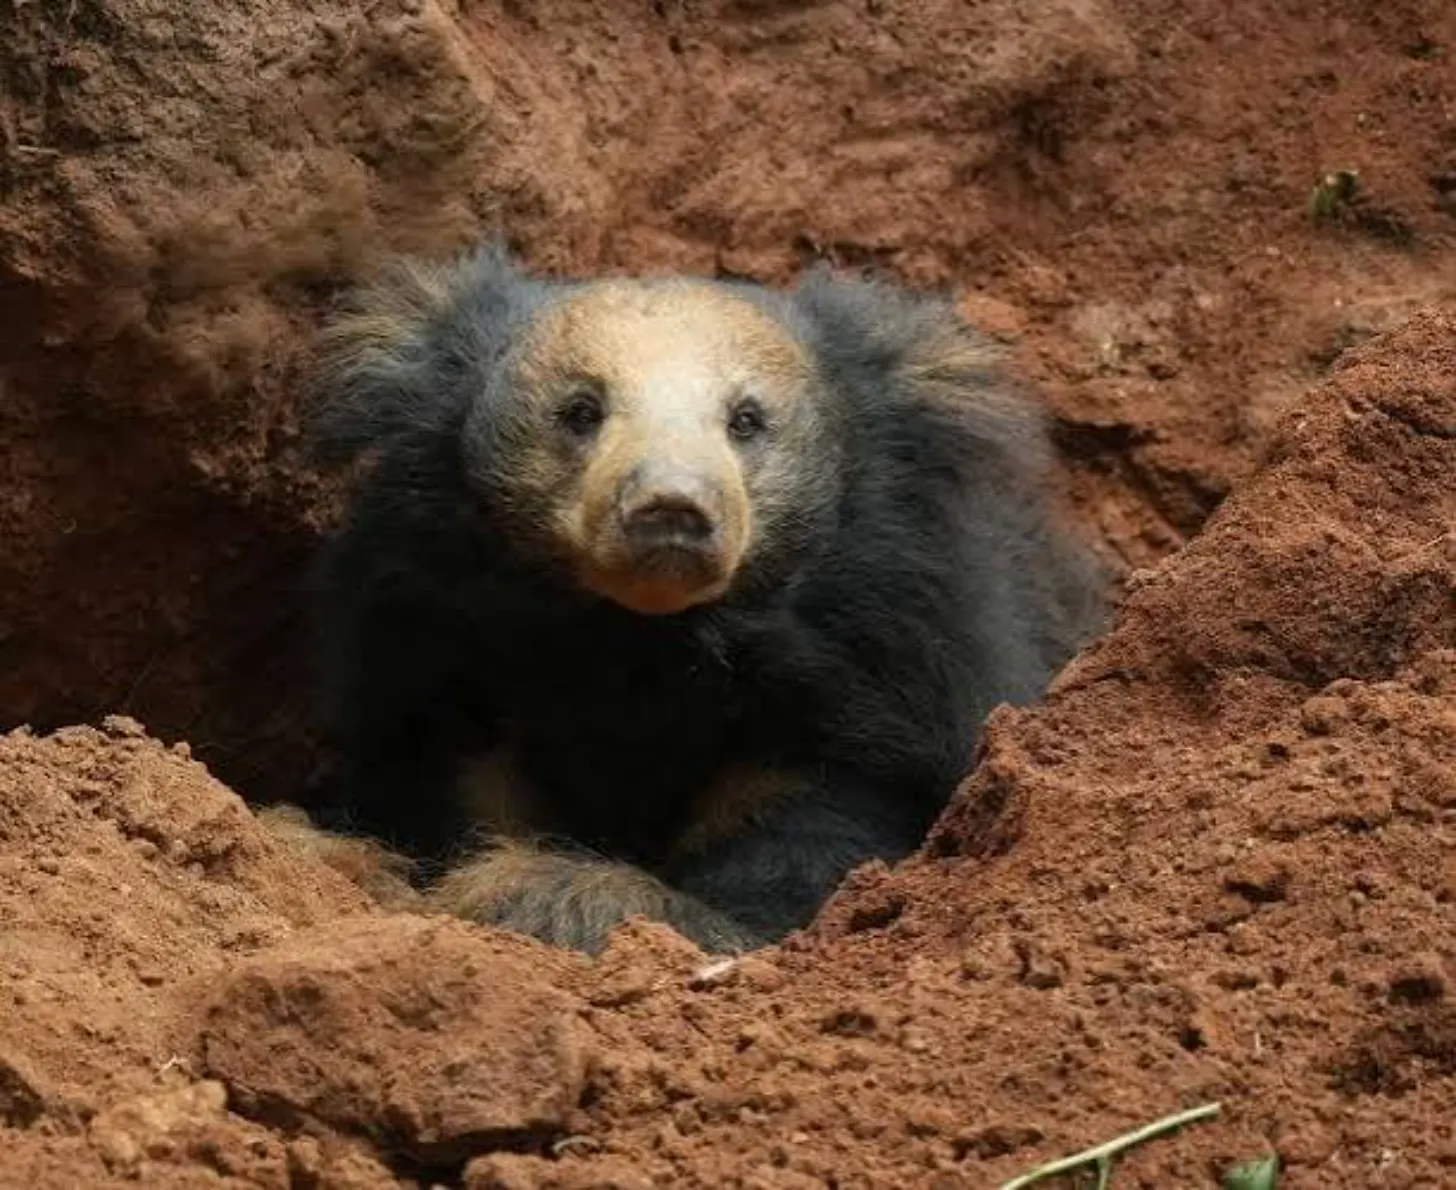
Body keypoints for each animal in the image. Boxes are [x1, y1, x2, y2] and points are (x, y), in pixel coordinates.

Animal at [273, 243, 1108, 957]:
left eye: (747, 419)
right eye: (580, 411)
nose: (670, 509)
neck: (641, 646)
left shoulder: (870, 686)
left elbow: (803, 873)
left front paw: (546, 893)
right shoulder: (438, 663)